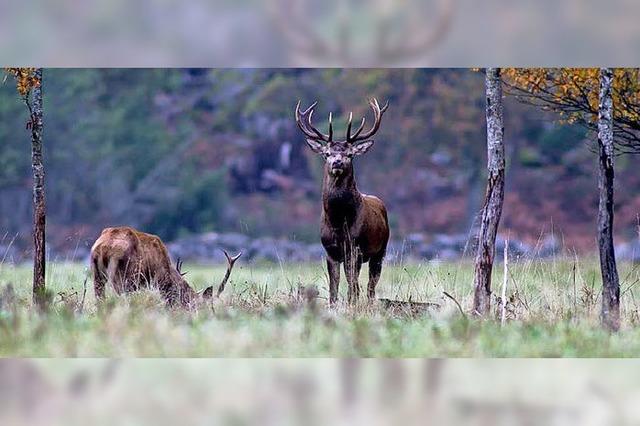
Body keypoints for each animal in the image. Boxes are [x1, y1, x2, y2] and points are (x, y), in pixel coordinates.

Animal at [296, 99, 390, 306]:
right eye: (327, 153)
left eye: (350, 154)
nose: (337, 162)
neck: (338, 222)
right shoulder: (330, 251)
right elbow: (334, 285)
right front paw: (333, 306)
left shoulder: (354, 249)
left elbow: (352, 286)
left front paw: (351, 305)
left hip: (381, 250)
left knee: (371, 286)